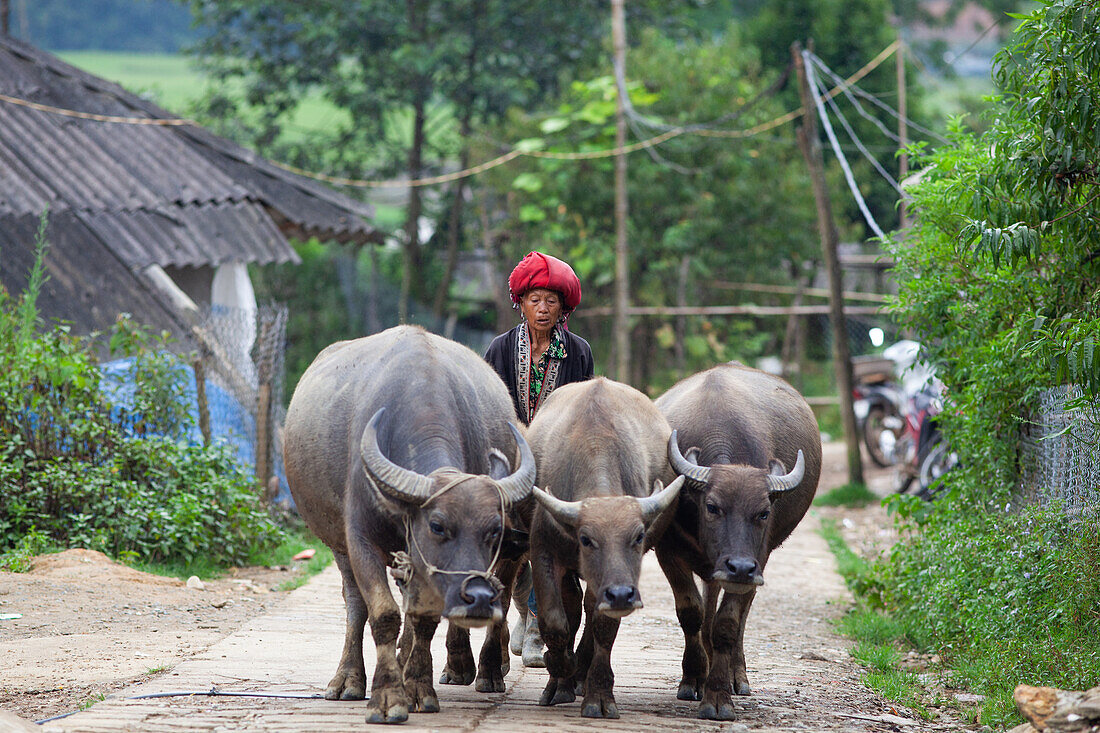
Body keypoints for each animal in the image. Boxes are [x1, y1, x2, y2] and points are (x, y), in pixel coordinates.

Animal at [283, 323, 536, 717]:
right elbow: (383, 613)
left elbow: (423, 618)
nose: (479, 597)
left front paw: (417, 687)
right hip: (338, 544)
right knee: (355, 603)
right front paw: (388, 696)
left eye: (493, 531)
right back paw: (348, 680)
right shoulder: (360, 538)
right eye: (437, 525)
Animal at [528, 378, 682, 717]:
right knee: (573, 607)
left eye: (638, 536)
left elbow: (603, 624)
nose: (622, 595)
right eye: (586, 539)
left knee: (587, 607)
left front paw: (597, 694)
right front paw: (559, 668)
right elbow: (554, 620)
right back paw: (562, 681)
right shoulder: (542, 548)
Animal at [651, 363, 818, 717]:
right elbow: (691, 612)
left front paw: (718, 695)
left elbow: (727, 622)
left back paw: (735, 677)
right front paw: (692, 680)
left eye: (764, 512)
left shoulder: (757, 558)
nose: (740, 567)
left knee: (739, 611)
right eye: (712, 507)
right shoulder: (668, 550)